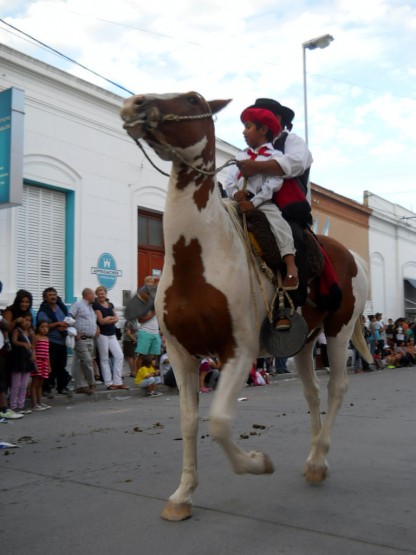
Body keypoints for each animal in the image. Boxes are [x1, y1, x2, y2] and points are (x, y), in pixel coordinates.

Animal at [119, 90, 370, 520]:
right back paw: (313, 460)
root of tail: (350, 255)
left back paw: (318, 459)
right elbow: (189, 422)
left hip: (338, 331)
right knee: (312, 393)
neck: (200, 255)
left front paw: (258, 463)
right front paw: (182, 495)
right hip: (305, 344)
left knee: (337, 387)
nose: (135, 105)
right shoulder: (182, 355)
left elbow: (219, 422)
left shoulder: (238, 351)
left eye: (192, 99)